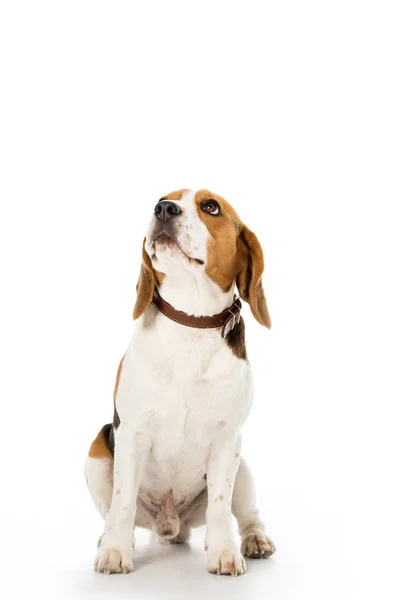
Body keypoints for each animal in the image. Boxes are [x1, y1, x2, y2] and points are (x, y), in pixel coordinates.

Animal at [84, 189, 276, 576]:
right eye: (162, 198)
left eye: (211, 207)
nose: (163, 209)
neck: (192, 319)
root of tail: (169, 524)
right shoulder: (131, 433)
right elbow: (122, 501)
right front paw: (114, 552)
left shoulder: (226, 439)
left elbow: (220, 505)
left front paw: (223, 552)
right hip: (96, 452)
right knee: (117, 513)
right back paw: (110, 538)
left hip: (243, 467)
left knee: (246, 513)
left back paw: (254, 539)